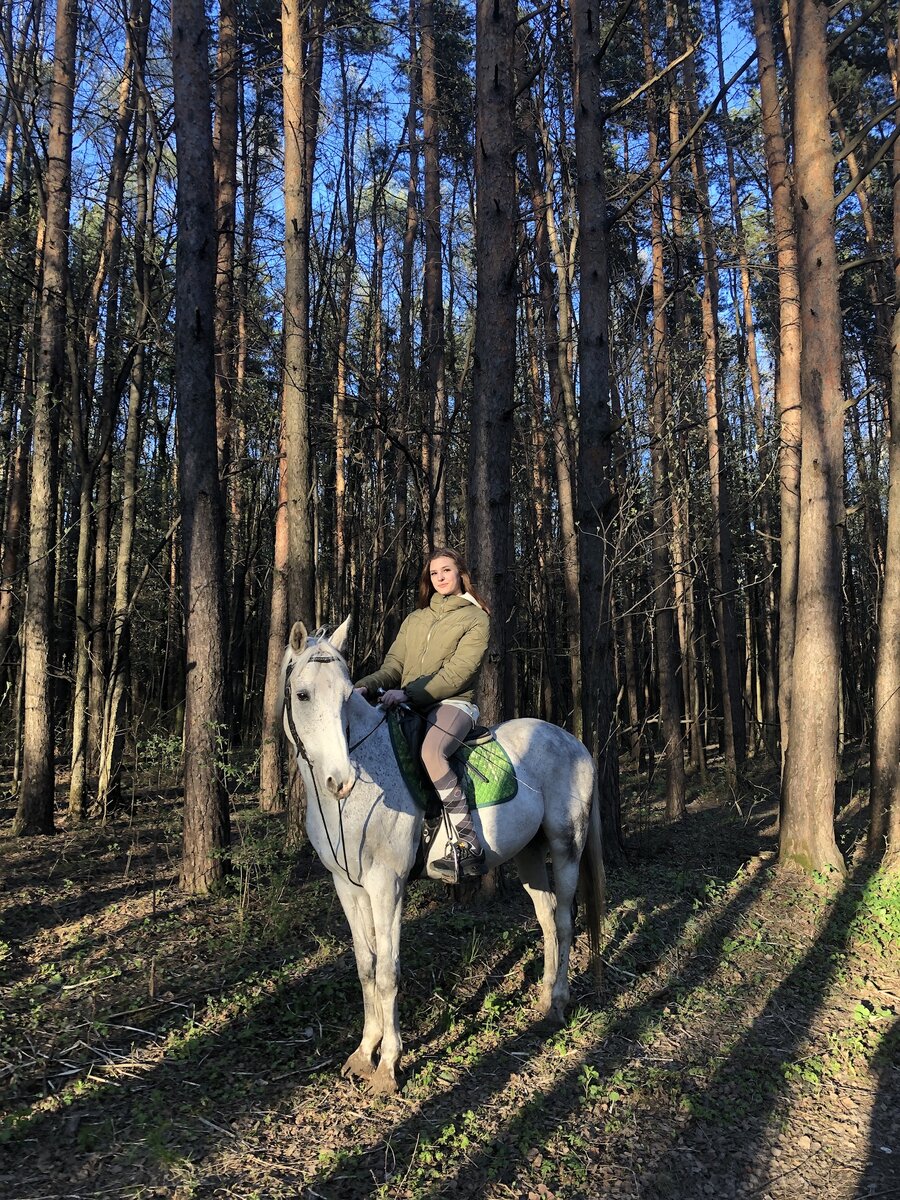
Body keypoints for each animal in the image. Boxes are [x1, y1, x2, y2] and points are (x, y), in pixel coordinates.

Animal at [282, 619, 607, 1099]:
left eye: (344, 696)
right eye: (303, 694)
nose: (339, 780)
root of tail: (574, 742)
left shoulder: (387, 884)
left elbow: (388, 972)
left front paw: (388, 1065)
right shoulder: (348, 886)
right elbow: (366, 966)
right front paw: (363, 1054)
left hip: (567, 846)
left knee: (565, 921)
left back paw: (559, 1005)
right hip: (528, 854)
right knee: (548, 917)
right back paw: (546, 999)